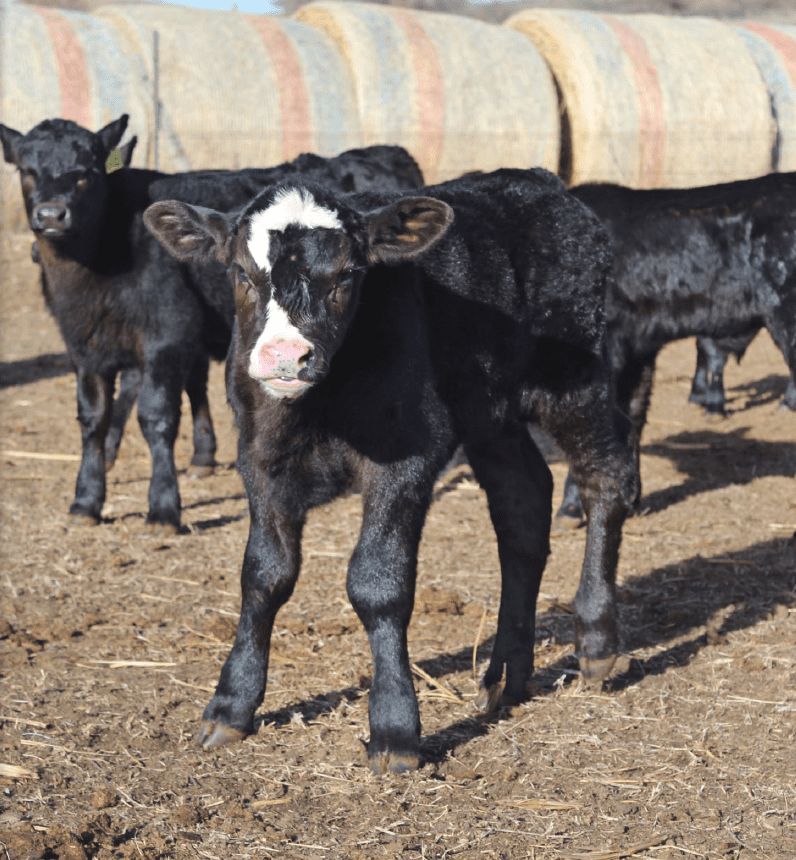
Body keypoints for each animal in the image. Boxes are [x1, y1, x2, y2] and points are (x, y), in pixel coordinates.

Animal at [1, 114, 422, 532]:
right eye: (26, 171)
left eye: (87, 171)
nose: (51, 215)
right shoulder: (84, 346)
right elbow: (92, 418)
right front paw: (86, 501)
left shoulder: (166, 335)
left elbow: (156, 417)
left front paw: (163, 508)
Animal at [146, 171, 636, 776]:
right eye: (241, 272)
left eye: (346, 276)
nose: (285, 356)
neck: (320, 407)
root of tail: (542, 183)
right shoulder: (258, 457)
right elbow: (264, 575)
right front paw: (231, 705)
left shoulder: (407, 456)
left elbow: (378, 582)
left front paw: (395, 728)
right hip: (489, 411)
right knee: (522, 504)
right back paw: (506, 675)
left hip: (574, 378)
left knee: (605, 477)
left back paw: (595, 642)